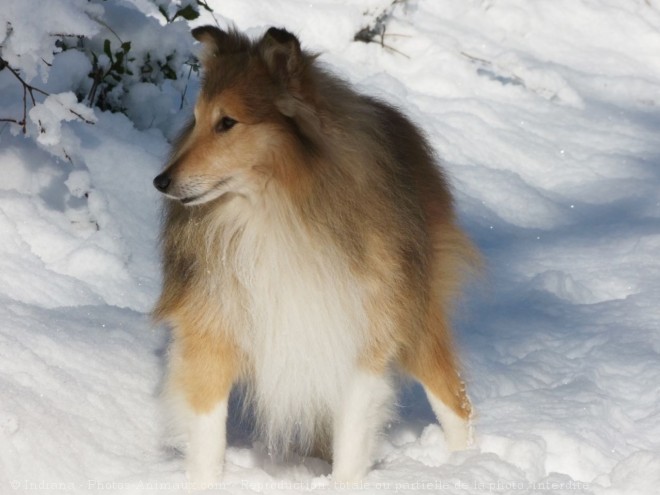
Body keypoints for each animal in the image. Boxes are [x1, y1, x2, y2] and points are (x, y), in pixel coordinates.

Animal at [152, 25, 476, 486]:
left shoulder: (361, 335)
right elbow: (207, 438)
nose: (161, 181)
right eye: (196, 120)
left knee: (456, 401)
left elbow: (353, 440)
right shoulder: (211, 329)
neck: (274, 212)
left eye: (227, 122)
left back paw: (468, 465)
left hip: (417, 317)